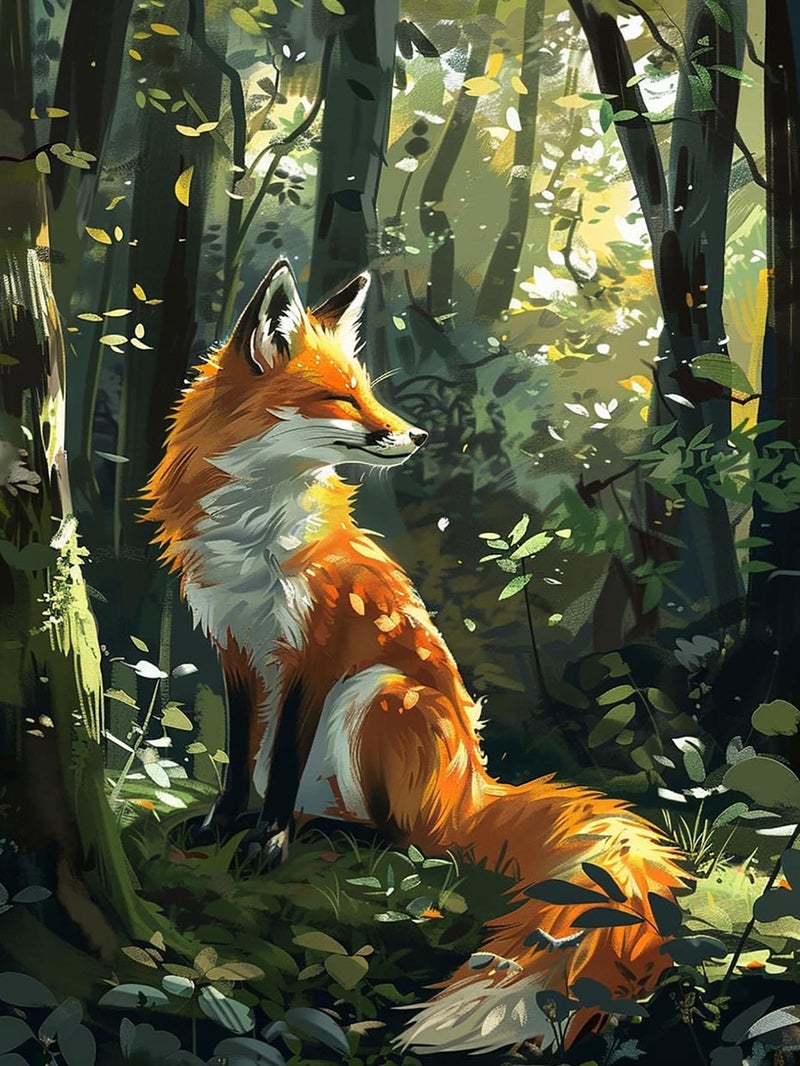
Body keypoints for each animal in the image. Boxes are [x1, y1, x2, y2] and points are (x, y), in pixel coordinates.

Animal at [144, 259, 686, 1054]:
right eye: (342, 397)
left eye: (368, 391)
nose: (418, 435)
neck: (258, 530)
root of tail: (477, 792)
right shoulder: (234, 647)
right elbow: (241, 759)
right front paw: (222, 827)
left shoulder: (318, 650)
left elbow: (281, 765)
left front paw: (265, 845)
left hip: (379, 692)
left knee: (412, 842)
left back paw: (327, 832)